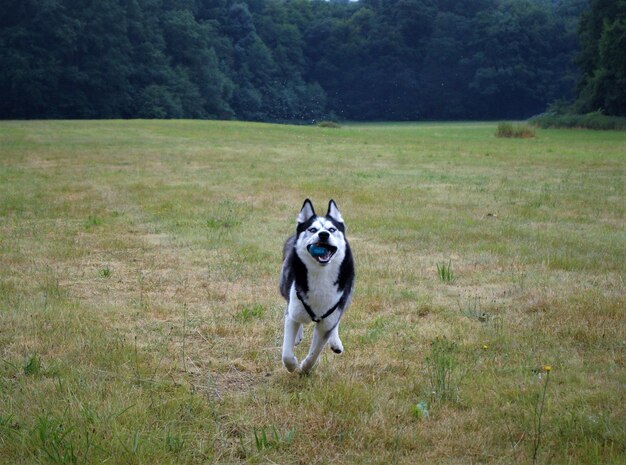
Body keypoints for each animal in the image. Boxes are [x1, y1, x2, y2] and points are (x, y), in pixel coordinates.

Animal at [280, 198, 354, 372]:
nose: (323, 234)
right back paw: (298, 336)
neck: (321, 275)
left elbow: (315, 352)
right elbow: (286, 352)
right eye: (312, 229)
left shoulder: (326, 324)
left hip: (346, 298)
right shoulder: (293, 310)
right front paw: (292, 366)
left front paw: (305, 368)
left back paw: (335, 341)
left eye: (332, 229)